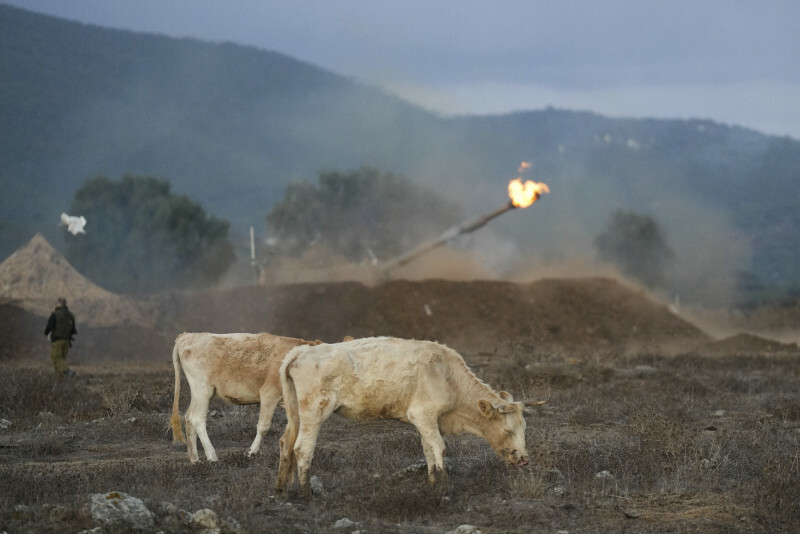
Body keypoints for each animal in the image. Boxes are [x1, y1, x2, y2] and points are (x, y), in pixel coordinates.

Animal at [170, 330, 322, 464]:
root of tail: (188, 336)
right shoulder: (269, 394)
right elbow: (263, 426)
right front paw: (251, 453)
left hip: (198, 393)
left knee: (188, 418)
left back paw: (195, 459)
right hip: (203, 390)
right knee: (196, 418)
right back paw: (212, 456)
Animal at [276, 340, 544, 498]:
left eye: (524, 428)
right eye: (508, 430)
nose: (524, 459)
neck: (448, 376)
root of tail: (302, 350)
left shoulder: (425, 421)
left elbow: (428, 450)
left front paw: (433, 482)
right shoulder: (423, 414)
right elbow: (439, 447)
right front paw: (444, 488)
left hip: (295, 413)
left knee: (286, 443)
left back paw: (281, 488)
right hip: (314, 411)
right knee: (302, 448)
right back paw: (306, 493)